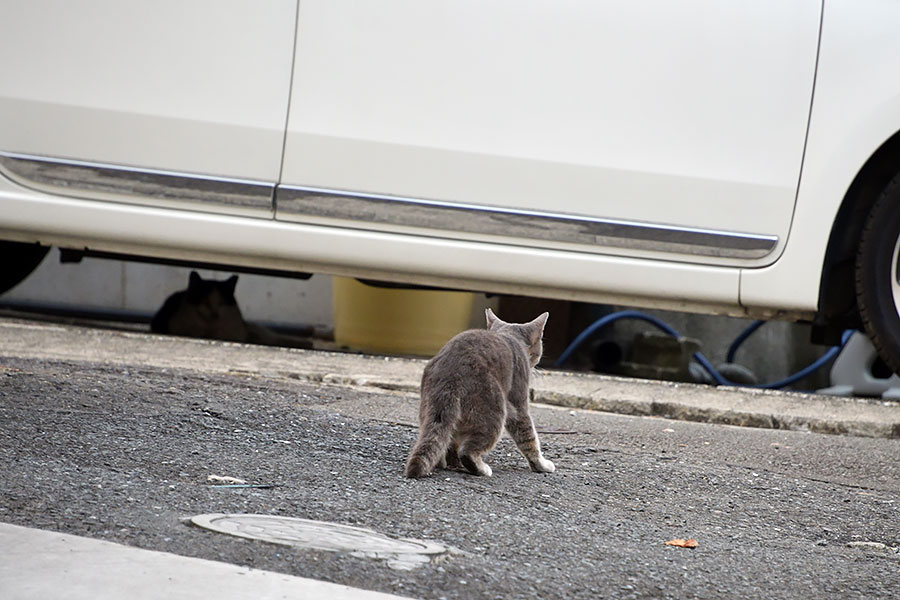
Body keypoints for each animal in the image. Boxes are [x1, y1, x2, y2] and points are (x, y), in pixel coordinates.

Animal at [408, 310, 556, 478]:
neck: (509, 335)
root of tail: (451, 374)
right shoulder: (519, 405)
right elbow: (529, 438)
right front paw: (541, 464)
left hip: (430, 410)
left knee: (445, 439)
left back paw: (447, 463)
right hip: (494, 412)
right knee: (468, 452)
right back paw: (480, 468)